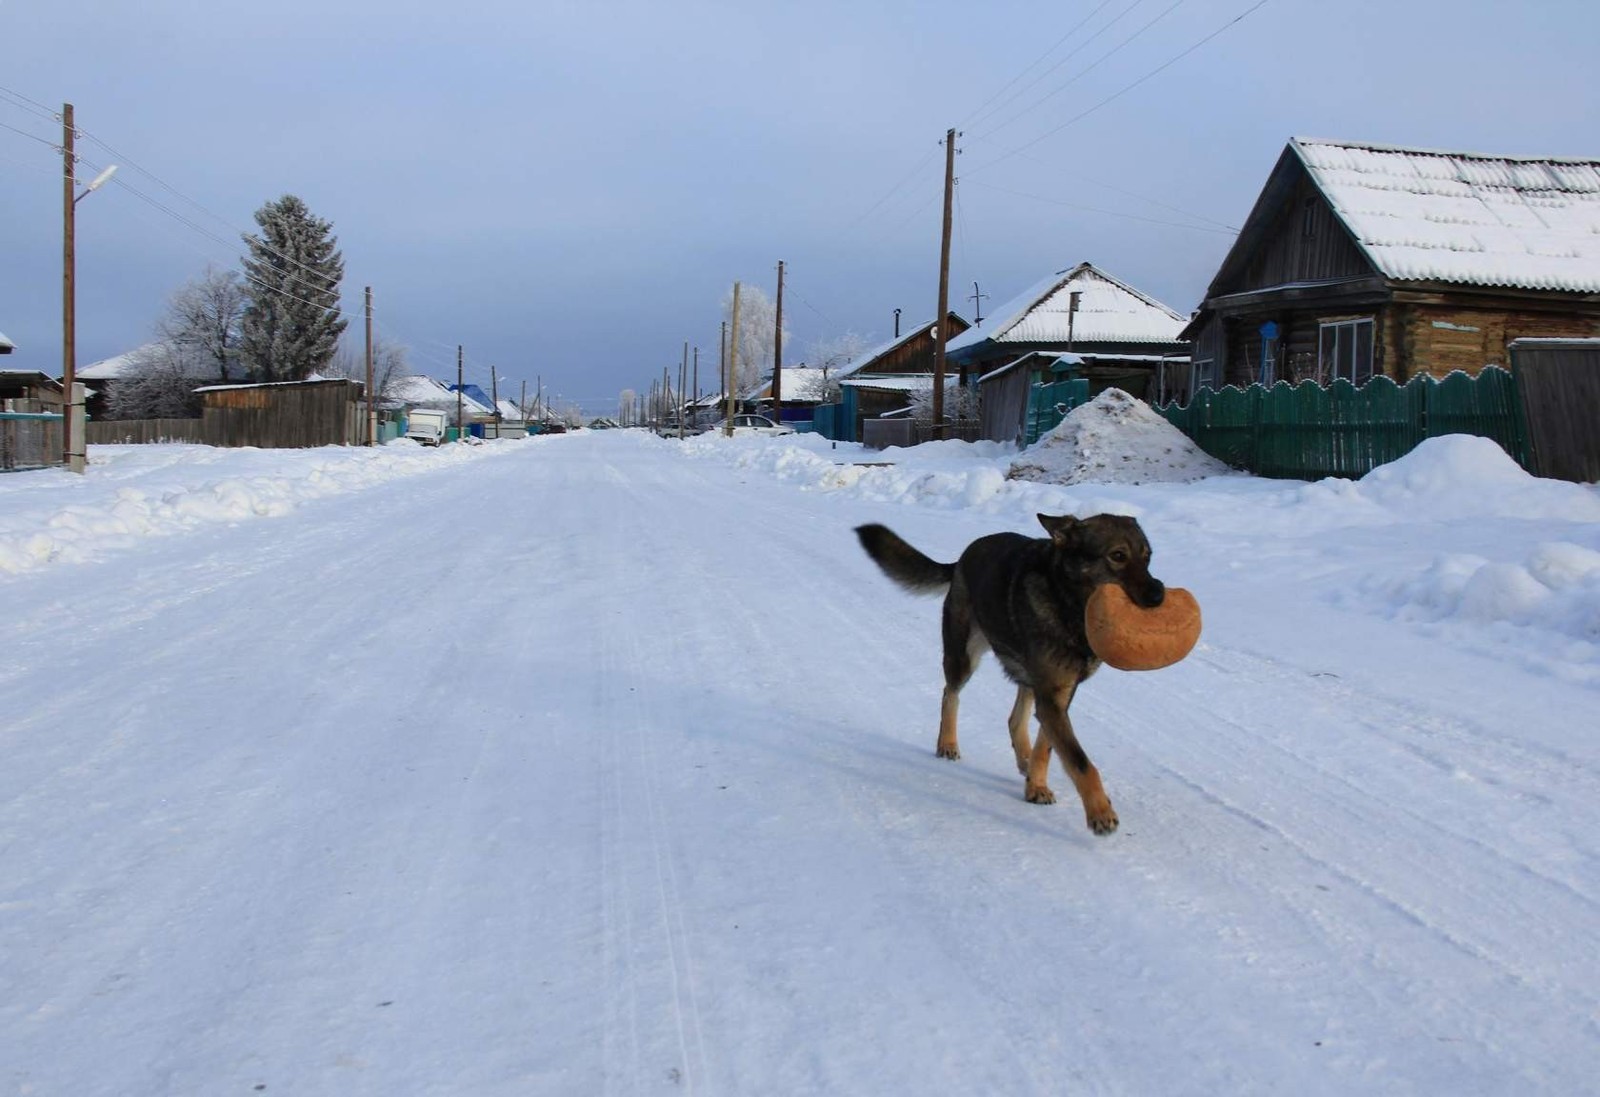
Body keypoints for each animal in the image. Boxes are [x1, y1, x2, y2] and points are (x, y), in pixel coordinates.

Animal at [857, 514, 1171, 831]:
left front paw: (1037, 785)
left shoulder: (1058, 697)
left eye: (1147, 557)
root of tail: (962, 559)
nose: (1159, 594)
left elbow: (1047, 747)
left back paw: (1025, 761)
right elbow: (1080, 762)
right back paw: (947, 744)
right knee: (950, 694)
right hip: (964, 656)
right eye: (1117, 556)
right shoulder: (1051, 700)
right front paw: (1101, 813)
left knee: (1014, 718)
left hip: (1027, 675)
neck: (1067, 603)